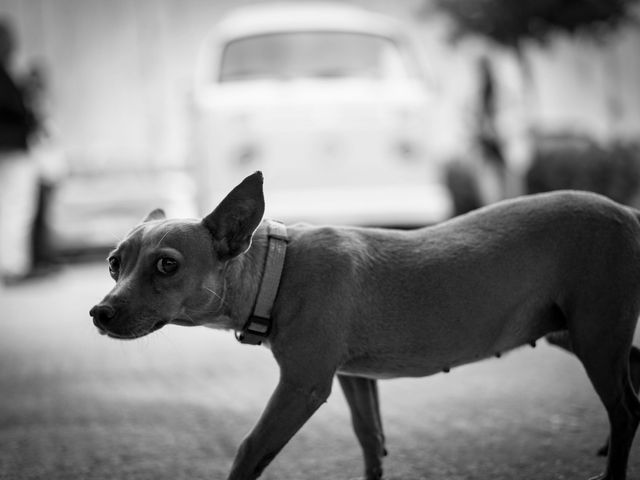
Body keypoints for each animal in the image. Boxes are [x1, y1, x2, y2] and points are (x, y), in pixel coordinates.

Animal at [92, 172, 640, 480]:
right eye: (115, 264)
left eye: (167, 266)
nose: (100, 313)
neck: (278, 271)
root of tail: (627, 211)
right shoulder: (354, 379)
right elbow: (369, 439)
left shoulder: (301, 388)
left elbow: (249, 451)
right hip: (577, 335)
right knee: (633, 380)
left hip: (594, 337)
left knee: (626, 410)